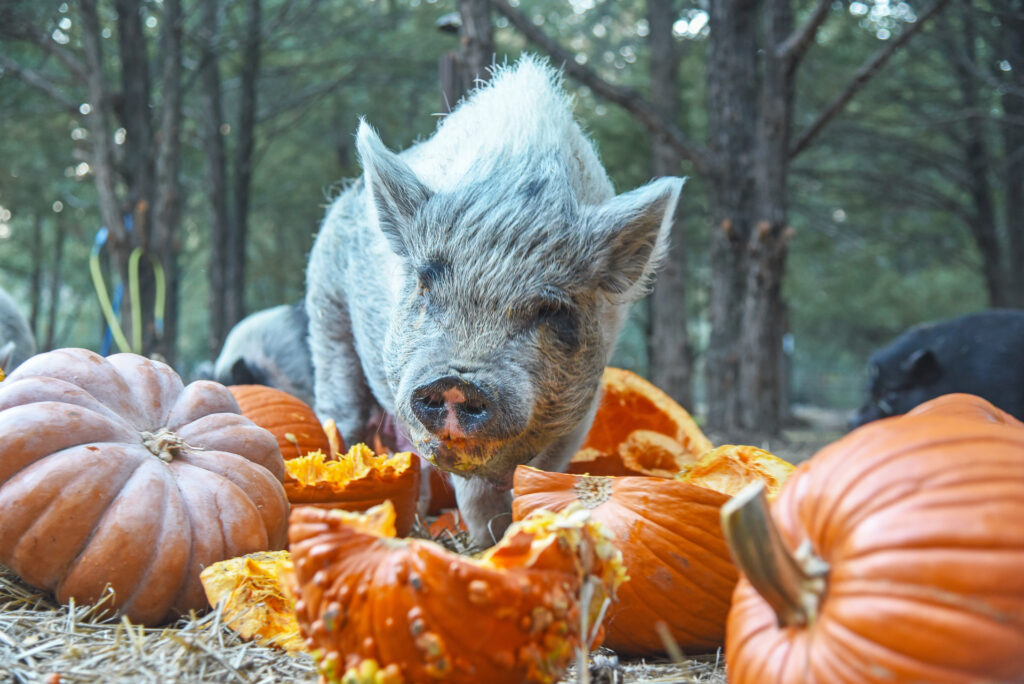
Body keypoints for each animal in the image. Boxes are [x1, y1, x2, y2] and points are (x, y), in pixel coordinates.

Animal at [305, 56, 684, 545]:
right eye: (425, 285)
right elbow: (475, 494)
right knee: (346, 416)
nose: (456, 380)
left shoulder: (579, 414)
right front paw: (486, 545)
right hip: (326, 315)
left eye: (552, 310)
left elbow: (540, 473)